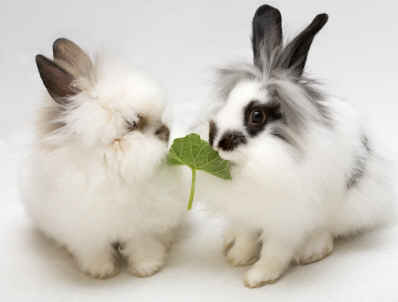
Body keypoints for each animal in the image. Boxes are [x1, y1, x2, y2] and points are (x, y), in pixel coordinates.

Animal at [18, 39, 187, 280]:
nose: (167, 133)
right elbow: (95, 250)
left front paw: (147, 268)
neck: (112, 165)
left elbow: (143, 245)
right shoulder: (87, 231)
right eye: (132, 124)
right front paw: (101, 272)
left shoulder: (143, 225)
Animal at [197, 4, 396, 288]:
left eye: (256, 115)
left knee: (328, 230)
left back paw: (312, 251)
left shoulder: (286, 219)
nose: (218, 142)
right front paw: (238, 257)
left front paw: (257, 277)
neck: (253, 164)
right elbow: (246, 237)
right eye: (228, 100)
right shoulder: (246, 213)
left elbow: (275, 251)